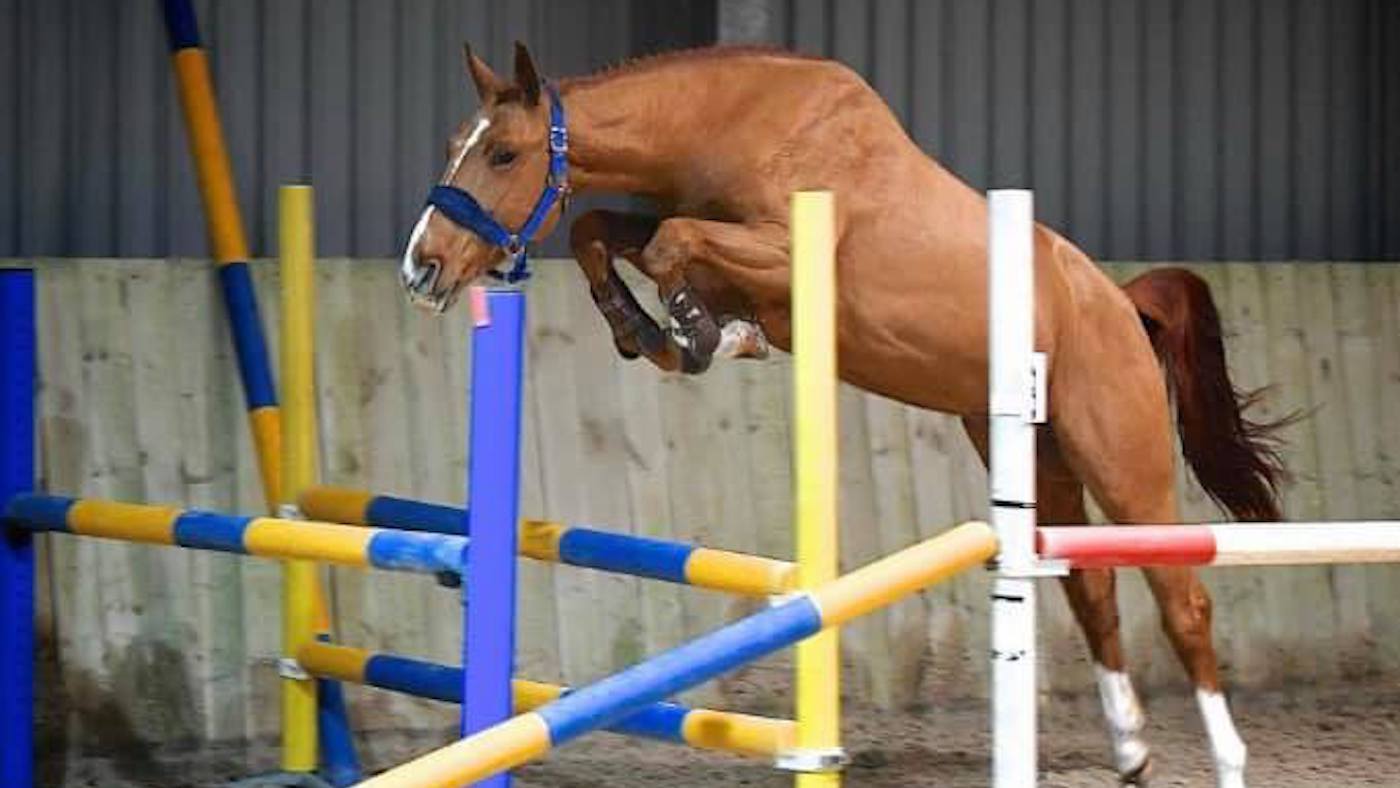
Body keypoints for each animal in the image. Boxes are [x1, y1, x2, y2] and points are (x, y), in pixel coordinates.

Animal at [399, 42, 1290, 788]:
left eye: (504, 154)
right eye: (451, 144)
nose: (422, 268)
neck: (736, 126)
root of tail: (1118, 301)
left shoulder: (782, 251)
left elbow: (669, 244)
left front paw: (700, 331)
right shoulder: (689, 228)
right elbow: (603, 228)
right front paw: (649, 331)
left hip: (1122, 460)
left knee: (1182, 603)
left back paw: (1226, 759)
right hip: (1035, 452)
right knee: (1092, 589)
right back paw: (1132, 750)